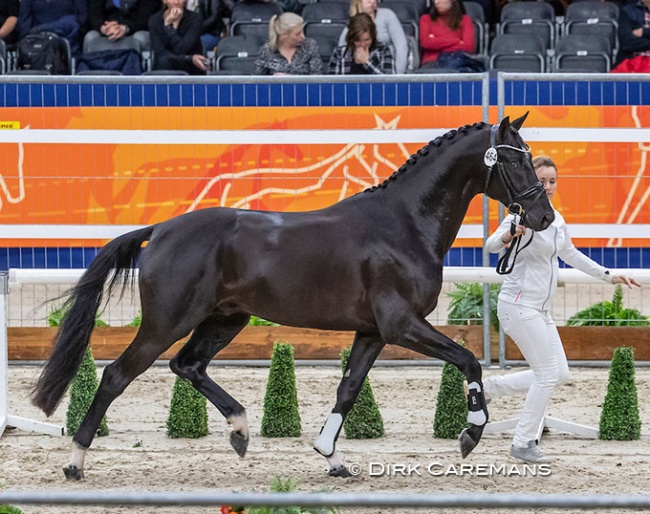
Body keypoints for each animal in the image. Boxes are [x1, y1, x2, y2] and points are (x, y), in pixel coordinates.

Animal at [31, 114, 552, 478]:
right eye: (513, 159)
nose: (543, 216)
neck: (403, 224)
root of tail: (160, 229)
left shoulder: (373, 332)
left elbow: (348, 388)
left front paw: (331, 457)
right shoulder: (402, 325)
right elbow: (468, 360)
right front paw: (470, 432)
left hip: (225, 319)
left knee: (188, 365)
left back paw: (240, 430)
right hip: (167, 322)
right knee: (118, 375)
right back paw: (75, 463)